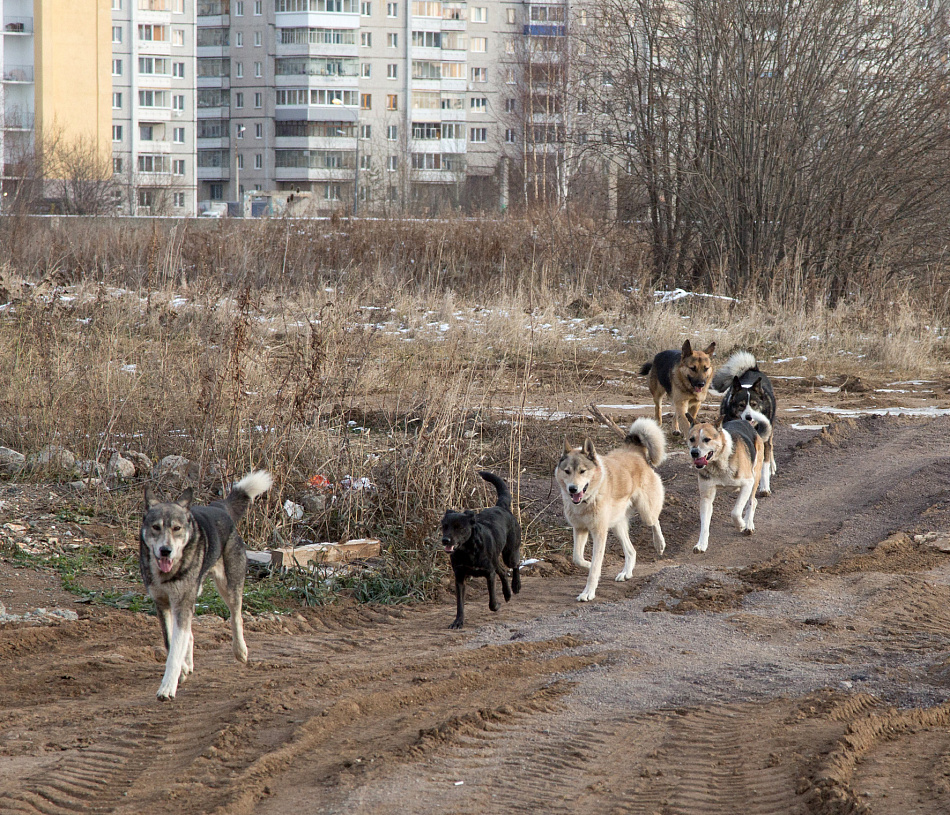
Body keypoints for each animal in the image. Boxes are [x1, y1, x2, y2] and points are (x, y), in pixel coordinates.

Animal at [138, 472, 274, 700]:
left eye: (176, 528)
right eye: (156, 527)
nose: (165, 550)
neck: (169, 572)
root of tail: (219, 507)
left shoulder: (182, 603)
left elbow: (175, 651)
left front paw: (168, 687)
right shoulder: (163, 604)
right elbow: (171, 642)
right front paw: (182, 669)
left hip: (228, 587)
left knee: (236, 617)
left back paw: (240, 650)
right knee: (190, 634)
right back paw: (188, 665)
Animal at [442, 472, 524, 632]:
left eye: (459, 527)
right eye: (444, 526)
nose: (445, 540)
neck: (468, 551)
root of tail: (501, 507)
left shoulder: (489, 573)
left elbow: (492, 602)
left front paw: (497, 605)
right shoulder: (459, 577)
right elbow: (460, 605)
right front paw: (458, 622)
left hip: (509, 553)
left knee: (515, 564)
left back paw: (515, 586)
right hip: (496, 559)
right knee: (503, 571)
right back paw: (507, 593)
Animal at [556, 418, 668, 604]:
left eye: (582, 471)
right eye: (567, 471)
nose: (572, 489)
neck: (588, 499)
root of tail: (633, 450)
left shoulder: (599, 533)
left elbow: (595, 568)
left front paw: (588, 592)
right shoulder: (580, 529)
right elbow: (577, 558)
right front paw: (588, 564)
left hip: (645, 512)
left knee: (655, 521)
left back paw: (659, 544)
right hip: (616, 526)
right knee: (631, 551)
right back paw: (626, 573)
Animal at [688, 414, 768, 556]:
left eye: (707, 439)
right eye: (692, 439)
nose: (694, 452)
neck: (718, 462)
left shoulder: (747, 484)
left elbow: (735, 512)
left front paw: (741, 525)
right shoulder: (706, 497)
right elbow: (704, 524)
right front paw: (701, 544)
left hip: (755, 476)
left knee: (752, 501)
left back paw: (748, 524)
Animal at [716, 348, 776, 494]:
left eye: (754, 404)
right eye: (741, 405)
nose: (749, 417)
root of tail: (752, 369)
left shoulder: (763, 441)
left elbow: (764, 465)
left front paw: (764, 487)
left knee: (771, 446)